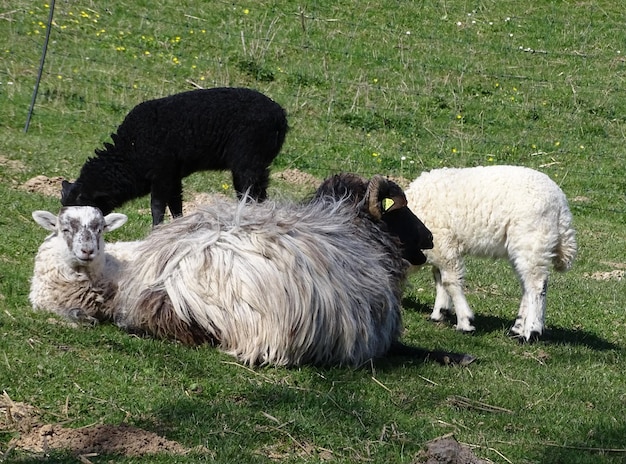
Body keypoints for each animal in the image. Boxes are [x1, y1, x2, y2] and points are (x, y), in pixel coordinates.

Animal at [30, 176, 468, 368]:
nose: (429, 237)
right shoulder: (378, 336)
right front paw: (458, 355)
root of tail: (169, 286)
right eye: (399, 212)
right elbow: (410, 349)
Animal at [59, 88, 286, 226]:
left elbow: (157, 206)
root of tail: (280, 116)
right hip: (258, 164)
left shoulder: (162, 173)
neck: (129, 154)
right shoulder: (173, 176)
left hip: (248, 162)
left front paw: (156, 229)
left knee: (250, 194)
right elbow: (175, 204)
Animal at [404, 164, 576, 340]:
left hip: (532, 239)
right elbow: (438, 277)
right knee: (527, 286)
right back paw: (517, 329)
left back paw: (531, 332)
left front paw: (464, 322)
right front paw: (440, 312)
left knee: (536, 285)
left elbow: (450, 282)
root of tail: (560, 203)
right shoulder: (441, 250)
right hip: (525, 246)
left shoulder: (443, 245)